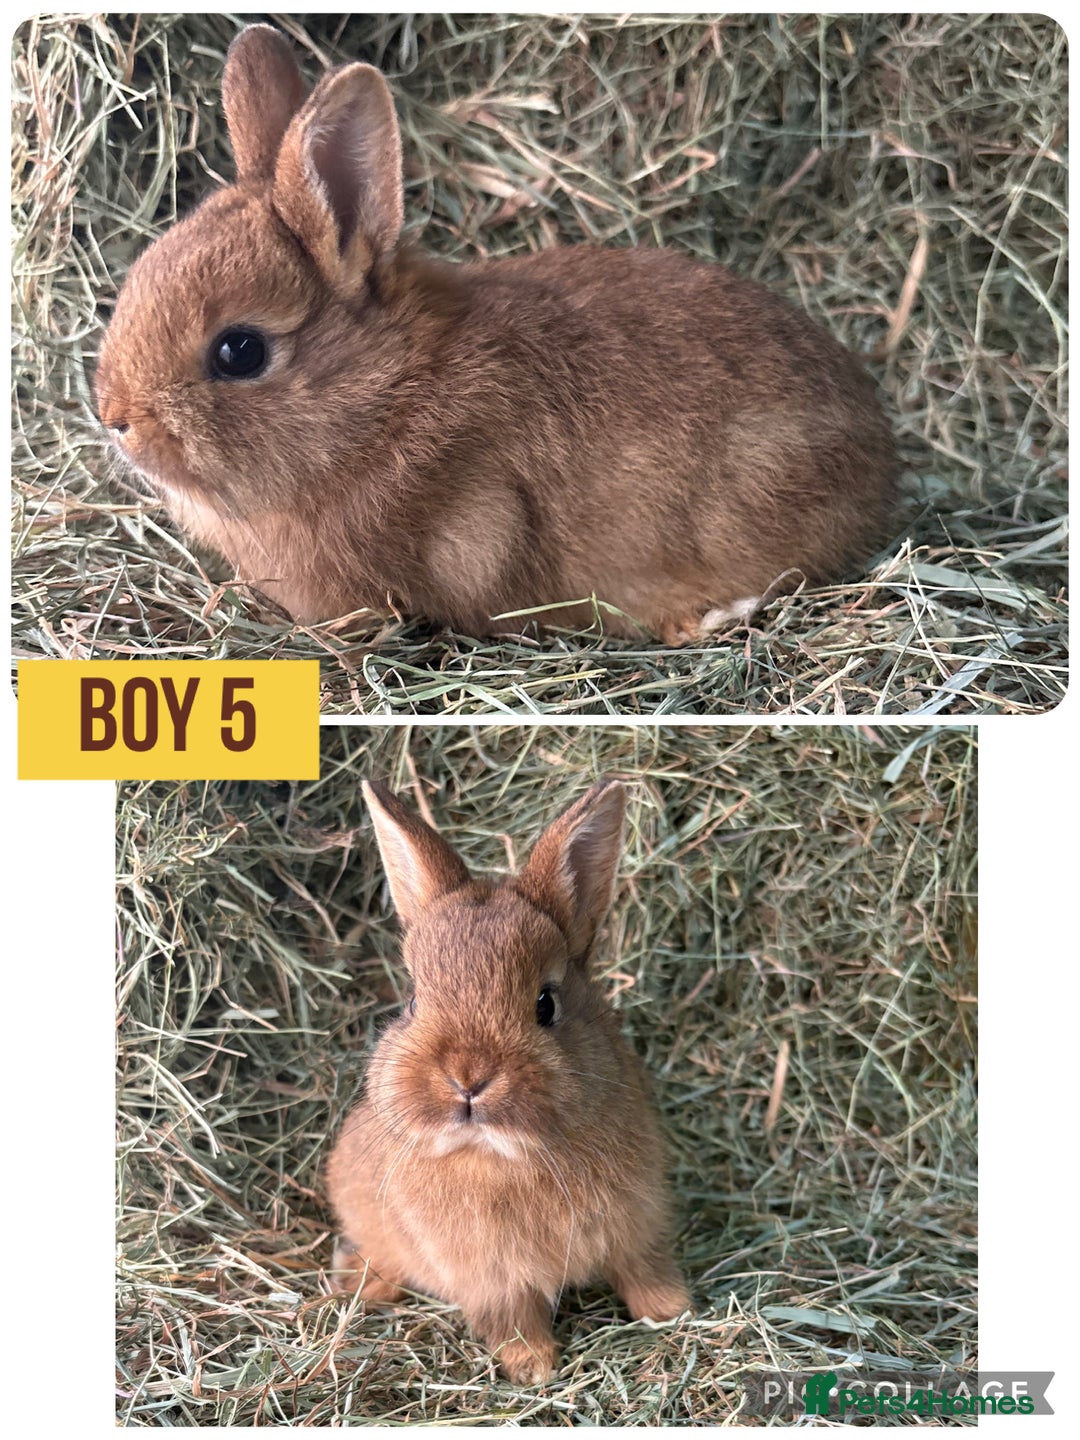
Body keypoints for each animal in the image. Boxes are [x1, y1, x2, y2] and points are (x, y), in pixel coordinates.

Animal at [324, 777, 689, 1384]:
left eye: (546, 1003)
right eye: (413, 1001)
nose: (468, 1078)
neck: (501, 1157)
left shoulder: (639, 1224)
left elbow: (645, 1270)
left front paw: (672, 1312)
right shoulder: (489, 1277)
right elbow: (512, 1317)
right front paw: (534, 1368)